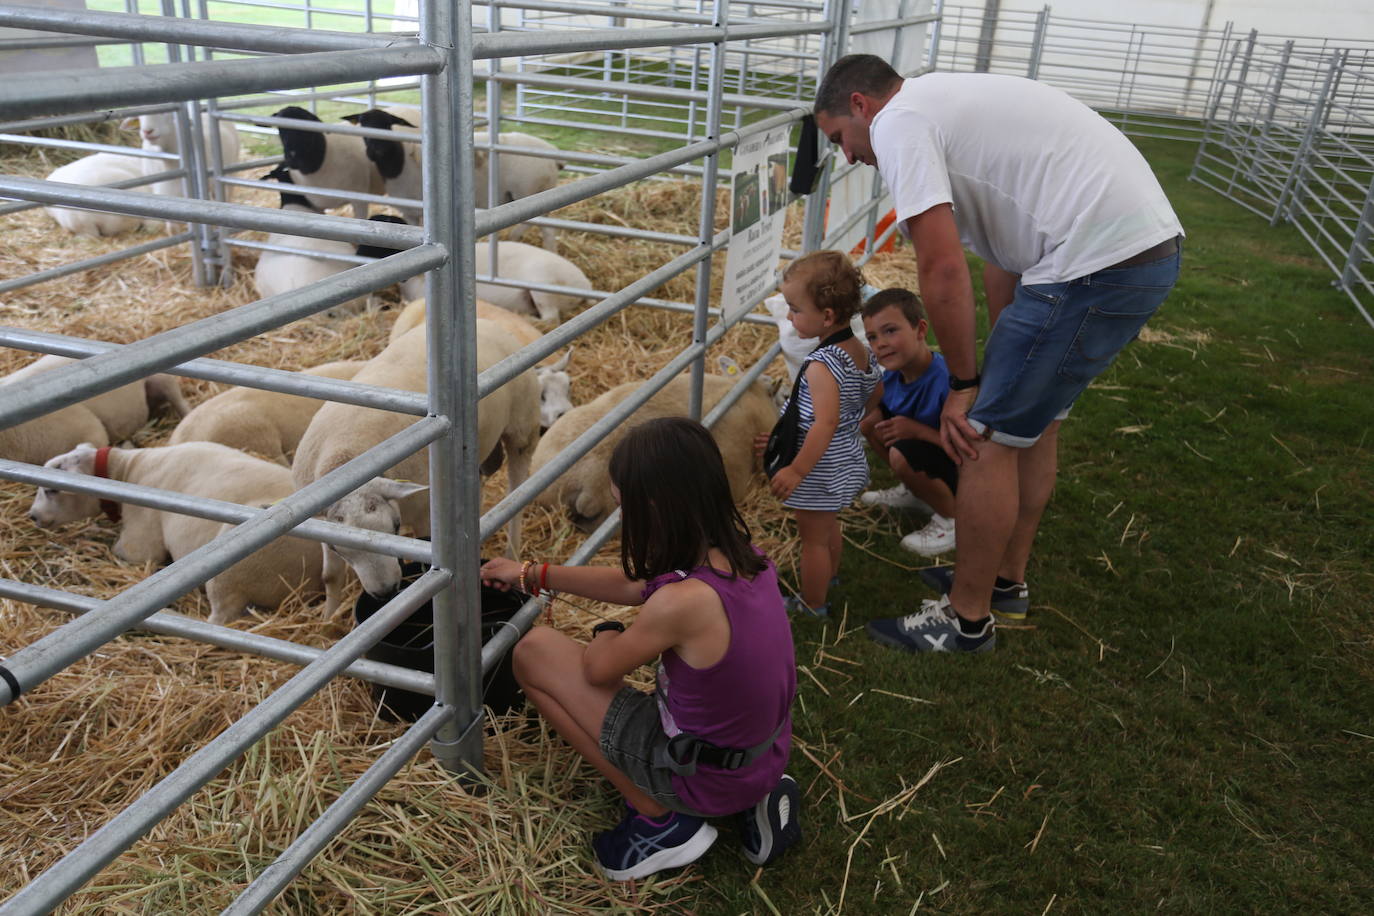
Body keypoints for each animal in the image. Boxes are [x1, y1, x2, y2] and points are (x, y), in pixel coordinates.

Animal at [30, 439, 325, 626]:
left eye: (51, 490)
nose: (32, 516)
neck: (125, 471)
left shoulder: (141, 535)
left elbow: (131, 552)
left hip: (235, 567)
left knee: (220, 618)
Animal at [292, 322, 538, 615]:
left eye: (396, 527)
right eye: (338, 549)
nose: (385, 591)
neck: (347, 457)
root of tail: (490, 325)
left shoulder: (424, 514)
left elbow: (421, 557)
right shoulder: (321, 525)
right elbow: (331, 575)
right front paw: (328, 618)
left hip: (522, 428)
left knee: (517, 493)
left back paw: (512, 551)